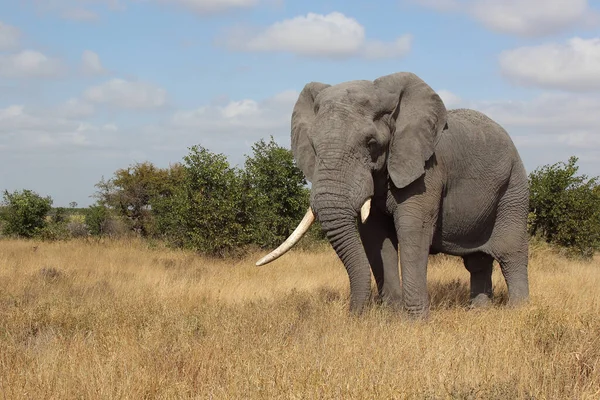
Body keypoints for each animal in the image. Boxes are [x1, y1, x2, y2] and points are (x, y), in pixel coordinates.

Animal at [255, 70, 528, 318]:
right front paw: (391, 316)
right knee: (477, 261)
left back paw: (517, 312)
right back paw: (479, 312)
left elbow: (412, 230)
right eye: (312, 145)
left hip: (513, 187)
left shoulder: (427, 169)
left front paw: (415, 322)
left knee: (510, 253)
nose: (353, 315)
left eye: (371, 143)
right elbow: (374, 235)